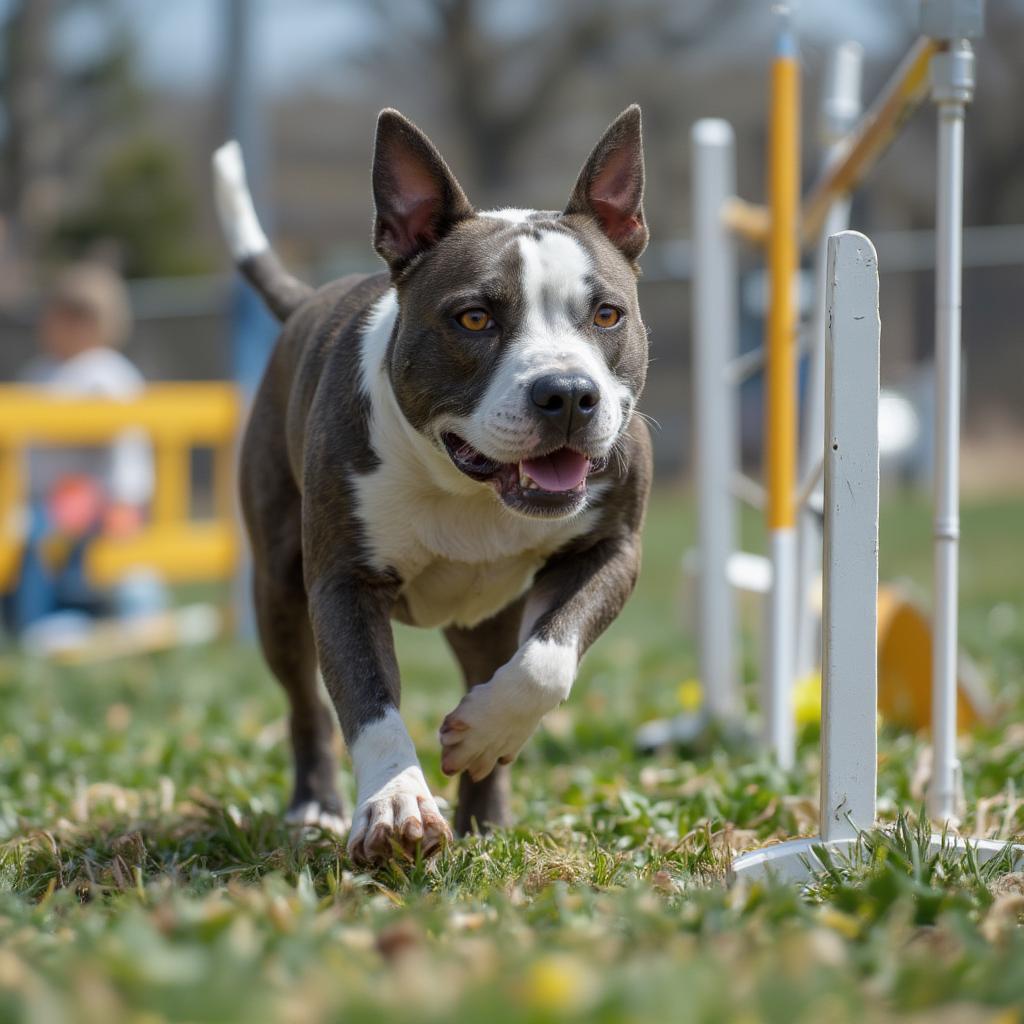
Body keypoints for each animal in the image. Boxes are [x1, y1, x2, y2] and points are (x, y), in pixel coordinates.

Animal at [211, 105, 651, 864]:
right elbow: (369, 706)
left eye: (606, 315)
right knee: (304, 705)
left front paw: (483, 733)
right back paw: (315, 807)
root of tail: (309, 298)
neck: (467, 489)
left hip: (483, 620)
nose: (567, 393)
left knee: (496, 665)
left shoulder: (613, 549)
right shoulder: (343, 584)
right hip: (278, 590)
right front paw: (395, 806)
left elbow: (546, 659)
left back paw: (486, 813)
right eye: (473, 318)